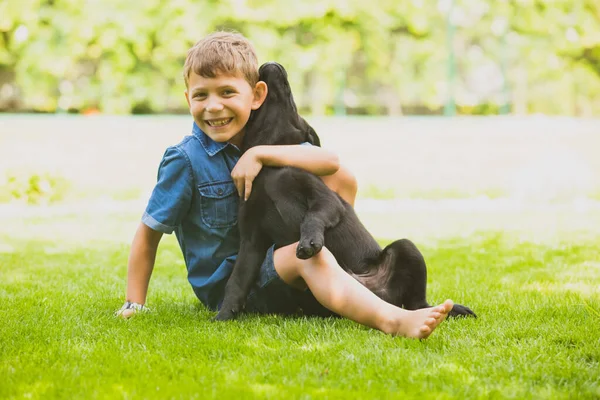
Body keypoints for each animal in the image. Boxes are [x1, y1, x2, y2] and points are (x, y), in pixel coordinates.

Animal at [214, 62, 474, 322]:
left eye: (292, 101)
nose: (274, 65)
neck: (269, 171)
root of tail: (381, 296)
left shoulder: (326, 200)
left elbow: (313, 217)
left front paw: (309, 240)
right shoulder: (252, 240)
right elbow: (237, 280)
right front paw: (225, 313)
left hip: (406, 249)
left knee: (417, 303)